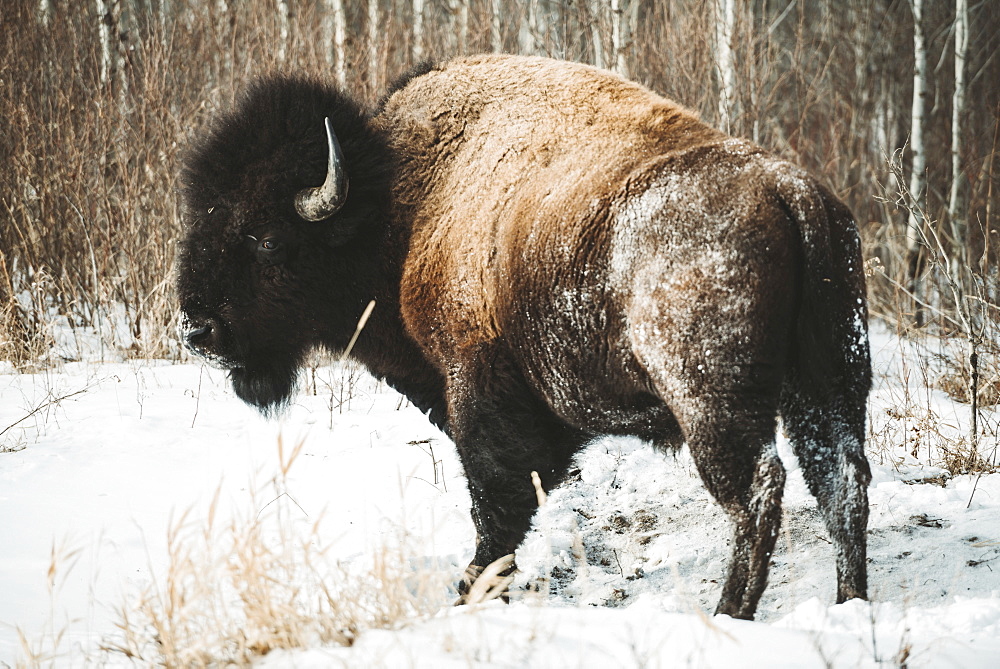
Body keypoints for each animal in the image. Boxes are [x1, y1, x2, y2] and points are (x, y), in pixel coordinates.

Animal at [176, 54, 872, 620]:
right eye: (203, 220)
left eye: (268, 240)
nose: (198, 329)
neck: (396, 206)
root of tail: (788, 189)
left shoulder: (475, 384)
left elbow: (498, 500)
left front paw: (472, 594)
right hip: (828, 379)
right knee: (841, 479)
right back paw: (850, 605)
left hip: (711, 401)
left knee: (758, 489)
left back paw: (730, 613)